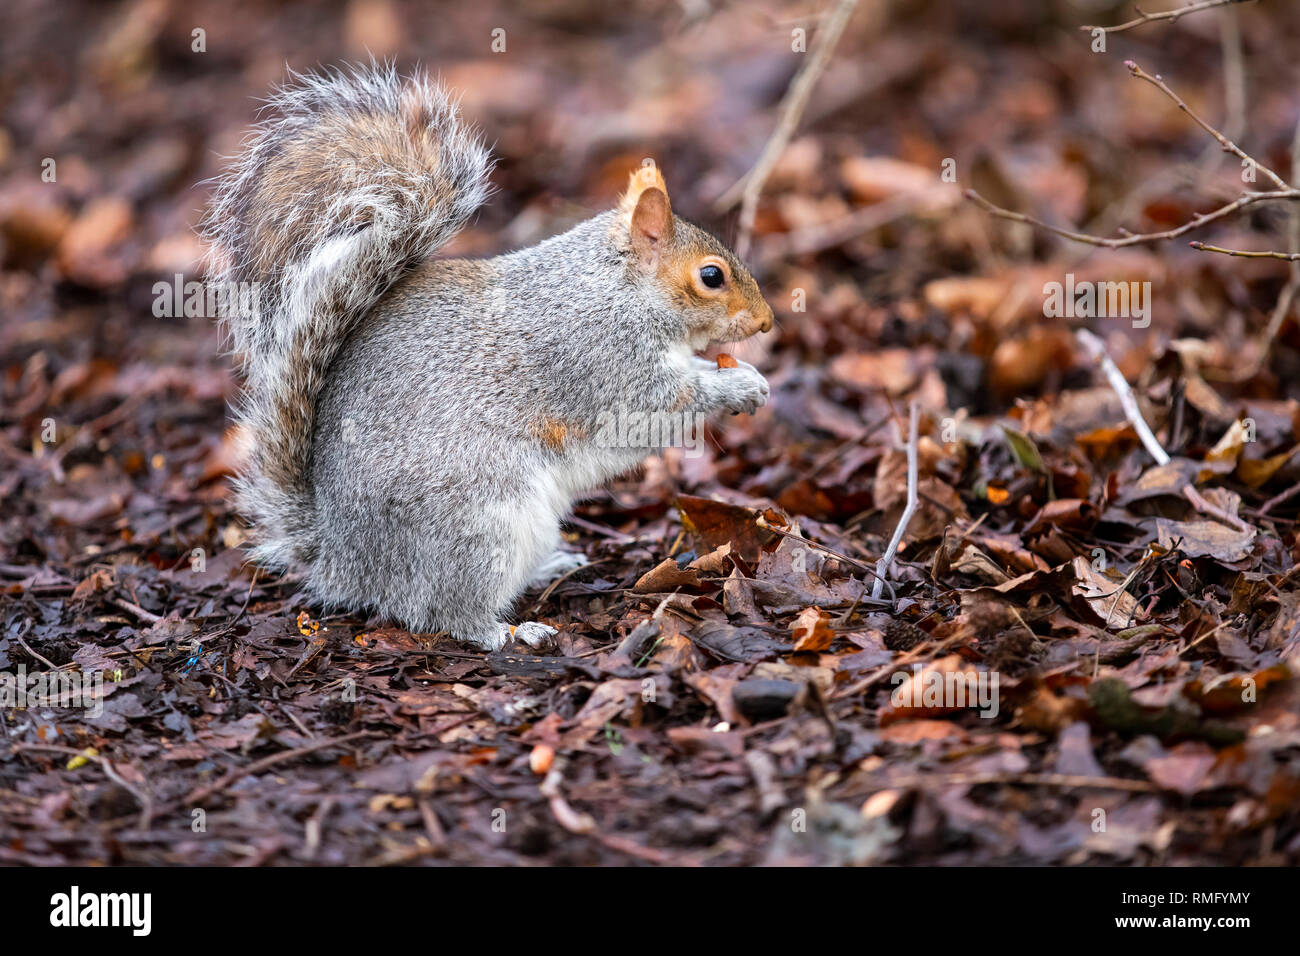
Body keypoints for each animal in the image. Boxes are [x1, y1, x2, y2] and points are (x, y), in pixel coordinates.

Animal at [203, 64, 773, 650]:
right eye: (711, 276)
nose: (766, 322)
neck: (619, 289)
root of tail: (344, 561)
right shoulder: (601, 359)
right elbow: (659, 404)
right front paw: (735, 388)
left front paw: (748, 374)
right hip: (482, 524)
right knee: (444, 611)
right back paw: (511, 632)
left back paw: (550, 568)